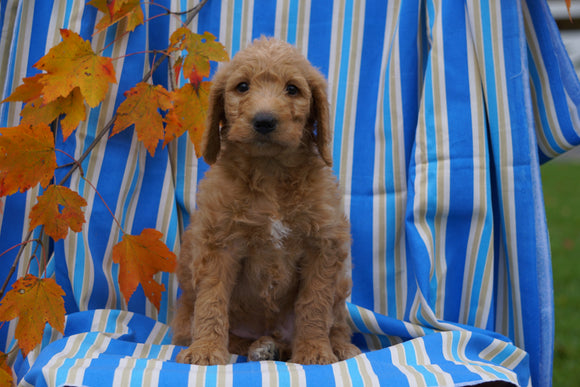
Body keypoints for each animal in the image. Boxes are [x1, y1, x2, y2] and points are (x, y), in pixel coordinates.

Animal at [172, 37, 360, 366]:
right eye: (242, 87)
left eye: (293, 89)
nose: (264, 121)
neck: (270, 171)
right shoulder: (217, 243)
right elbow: (212, 300)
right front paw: (205, 350)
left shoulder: (323, 245)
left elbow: (314, 305)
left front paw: (314, 351)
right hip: (187, 316)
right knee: (232, 335)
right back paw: (260, 346)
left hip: (341, 283)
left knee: (335, 320)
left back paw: (337, 346)